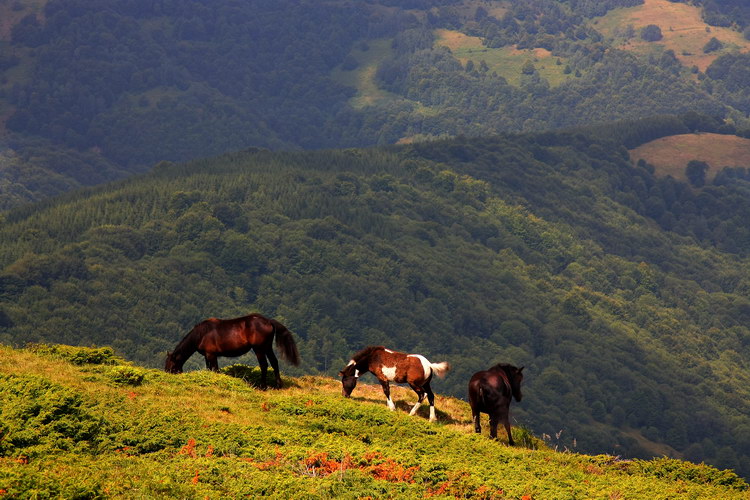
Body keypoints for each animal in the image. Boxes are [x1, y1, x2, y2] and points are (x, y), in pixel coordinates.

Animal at [166, 312, 302, 390]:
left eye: (171, 365)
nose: (167, 376)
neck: (202, 334)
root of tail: (268, 321)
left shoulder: (211, 355)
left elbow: (215, 369)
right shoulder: (207, 355)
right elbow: (209, 369)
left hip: (259, 349)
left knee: (264, 365)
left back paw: (263, 386)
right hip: (267, 347)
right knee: (274, 362)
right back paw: (278, 385)